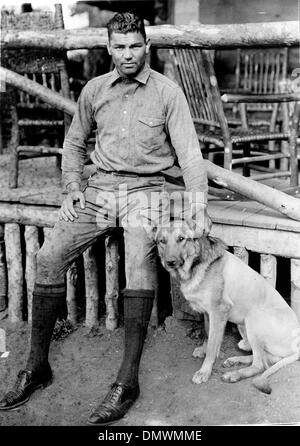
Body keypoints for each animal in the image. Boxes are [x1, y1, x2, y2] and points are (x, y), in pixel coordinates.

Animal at [155, 220, 300, 394]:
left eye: (181, 239)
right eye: (162, 241)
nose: (169, 262)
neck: (195, 265)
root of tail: (298, 345)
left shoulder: (218, 312)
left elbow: (212, 345)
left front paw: (204, 371)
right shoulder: (208, 313)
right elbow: (208, 335)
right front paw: (203, 350)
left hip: (253, 318)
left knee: (260, 365)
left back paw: (234, 375)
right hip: (245, 329)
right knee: (266, 359)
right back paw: (235, 360)